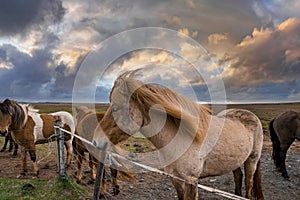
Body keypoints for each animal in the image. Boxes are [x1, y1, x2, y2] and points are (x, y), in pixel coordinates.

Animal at [92, 72, 264, 200]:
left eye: (116, 108)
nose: (95, 141)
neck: (182, 138)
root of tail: (253, 116)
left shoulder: (191, 181)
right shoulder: (176, 179)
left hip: (251, 160)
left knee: (248, 185)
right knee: (238, 177)